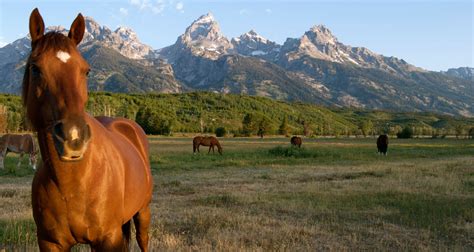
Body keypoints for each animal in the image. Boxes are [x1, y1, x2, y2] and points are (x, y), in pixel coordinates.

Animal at [23, 8, 153, 251]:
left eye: (86, 71)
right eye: (35, 68)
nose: (73, 137)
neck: (72, 184)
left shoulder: (108, 238)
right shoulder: (49, 242)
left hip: (143, 212)